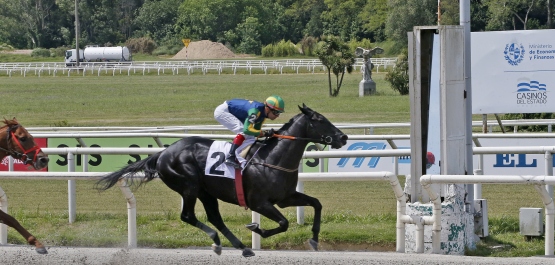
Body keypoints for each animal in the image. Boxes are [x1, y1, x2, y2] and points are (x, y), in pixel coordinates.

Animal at [95, 104, 348, 256]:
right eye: (320, 120)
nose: (343, 137)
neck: (272, 158)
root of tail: (163, 152)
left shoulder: (286, 198)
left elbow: (316, 204)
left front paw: (314, 240)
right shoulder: (259, 202)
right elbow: (284, 223)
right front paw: (257, 228)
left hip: (206, 192)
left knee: (214, 217)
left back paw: (241, 247)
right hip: (189, 186)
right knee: (188, 216)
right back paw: (218, 240)